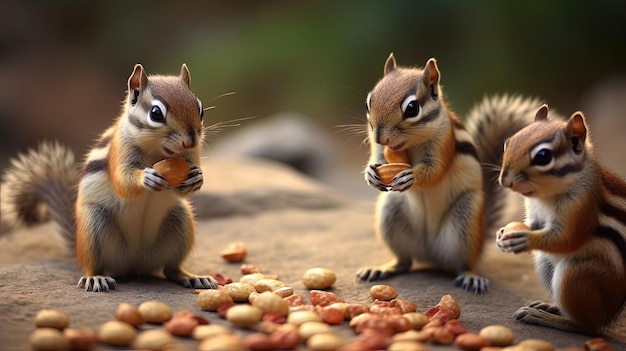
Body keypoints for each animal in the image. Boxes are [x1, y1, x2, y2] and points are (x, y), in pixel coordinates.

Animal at [0, 63, 218, 292]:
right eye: (156, 113)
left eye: (200, 109)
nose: (191, 140)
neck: (157, 152)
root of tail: (134, 264)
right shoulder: (120, 149)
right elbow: (122, 181)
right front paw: (146, 178)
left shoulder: (191, 155)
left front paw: (197, 177)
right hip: (93, 227)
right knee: (92, 265)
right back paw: (95, 278)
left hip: (181, 221)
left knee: (171, 269)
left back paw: (192, 277)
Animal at [356, 52, 536, 294]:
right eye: (368, 102)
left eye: (412, 108)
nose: (379, 137)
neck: (410, 144)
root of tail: (432, 257)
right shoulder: (380, 150)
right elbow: (377, 159)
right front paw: (370, 174)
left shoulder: (443, 143)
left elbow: (435, 171)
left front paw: (410, 176)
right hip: (390, 212)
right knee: (404, 261)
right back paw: (383, 268)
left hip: (466, 219)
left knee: (465, 262)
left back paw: (471, 277)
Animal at [494, 103, 620, 334]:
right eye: (508, 142)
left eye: (543, 156)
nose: (504, 181)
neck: (545, 195)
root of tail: (610, 314)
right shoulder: (535, 212)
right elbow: (533, 224)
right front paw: (502, 233)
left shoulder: (581, 205)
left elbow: (567, 239)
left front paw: (522, 239)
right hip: (545, 262)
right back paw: (548, 307)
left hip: (575, 274)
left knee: (587, 325)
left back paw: (543, 317)